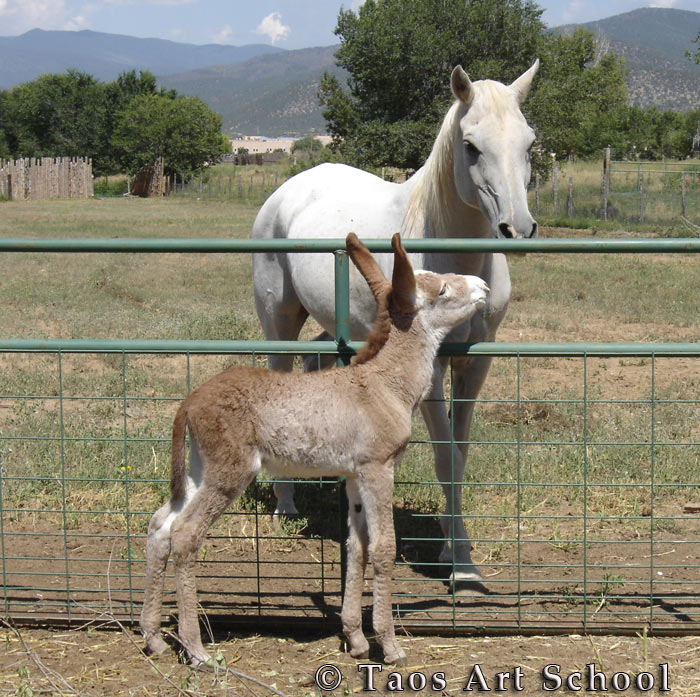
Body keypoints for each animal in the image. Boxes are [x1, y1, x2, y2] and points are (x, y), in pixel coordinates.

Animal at [253, 62, 540, 580]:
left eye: (529, 143)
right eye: (471, 146)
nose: (518, 228)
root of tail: (286, 191)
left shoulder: (476, 362)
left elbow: (461, 452)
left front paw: (452, 546)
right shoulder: (429, 369)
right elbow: (445, 458)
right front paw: (462, 565)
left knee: (313, 366)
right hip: (278, 322)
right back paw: (286, 505)